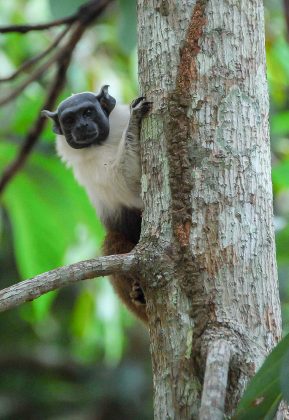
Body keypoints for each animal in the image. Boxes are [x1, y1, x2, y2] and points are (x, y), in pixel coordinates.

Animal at [43, 84, 152, 322]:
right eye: (69, 120)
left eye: (88, 112)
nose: (82, 126)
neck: (105, 141)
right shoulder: (90, 166)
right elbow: (126, 181)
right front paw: (135, 119)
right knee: (113, 239)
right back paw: (140, 293)